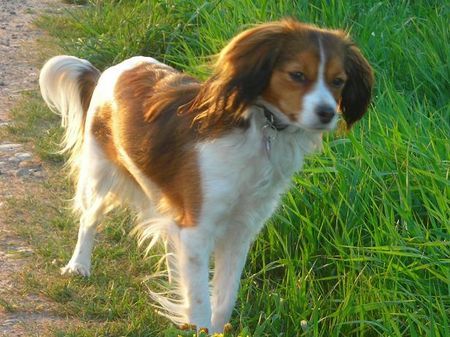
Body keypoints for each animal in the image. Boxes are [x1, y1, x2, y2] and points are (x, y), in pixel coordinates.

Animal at [40, 19, 372, 330]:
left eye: (338, 81)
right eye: (298, 75)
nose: (327, 113)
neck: (259, 130)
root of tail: (111, 70)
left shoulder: (241, 231)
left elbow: (224, 299)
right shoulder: (199, 227)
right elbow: (200, 303)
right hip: (99, 175)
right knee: (89, 220)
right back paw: (78, 265)